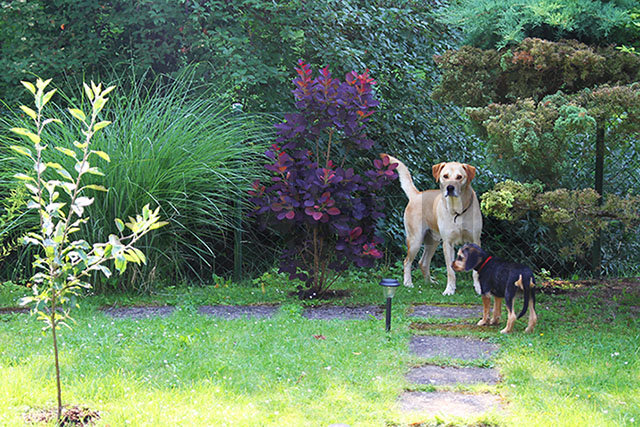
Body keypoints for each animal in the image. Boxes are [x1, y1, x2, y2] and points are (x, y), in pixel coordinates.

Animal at [382, 154, 482, 295]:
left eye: (459, 177)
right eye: (445, 176)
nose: (450, 188)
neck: (457, 211)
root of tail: (417, 194)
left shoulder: (475, 241)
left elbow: (476, 272)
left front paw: (478, 289)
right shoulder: (448, 243)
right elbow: (450, 270)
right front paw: (449, 290)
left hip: (432, 241)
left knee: (423, 262)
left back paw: (429, 282)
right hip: (415, 240)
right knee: (407, 261)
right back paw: (408, 283)